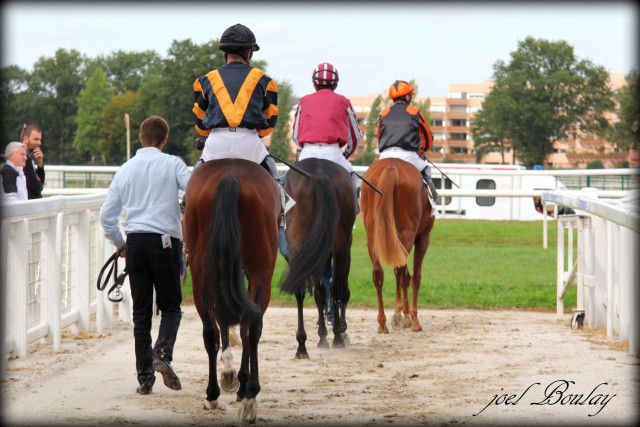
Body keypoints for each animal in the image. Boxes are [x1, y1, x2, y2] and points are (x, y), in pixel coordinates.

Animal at [180, 159, 280, 422]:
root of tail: (231, 174)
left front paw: (230, 376)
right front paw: (238, 381)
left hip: (202, 273)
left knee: (212, 330)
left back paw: (217, 390)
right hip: (261, 271)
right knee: (251, 326)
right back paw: (249, 395)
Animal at [278, 159, 358, 360]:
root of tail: (319, 171)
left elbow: (320, 292)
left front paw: (323, 336)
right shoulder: (342, 249)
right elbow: (334, 290)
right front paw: (336, 332)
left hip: (298, 243)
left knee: (300, 288)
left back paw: (301, 346)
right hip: (340, 242)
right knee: (336, 288)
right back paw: (336, 336)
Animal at [360, 157, 436, 334]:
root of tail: (391, 166)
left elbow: (405, 276)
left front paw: (402, 315)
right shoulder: (422, 238)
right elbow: (415, 277)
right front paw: (410, 317)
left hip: (372, 235)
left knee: (378, 273)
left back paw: (382, 323)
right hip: (407, 234)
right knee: (400, 271)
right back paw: (404, 317)